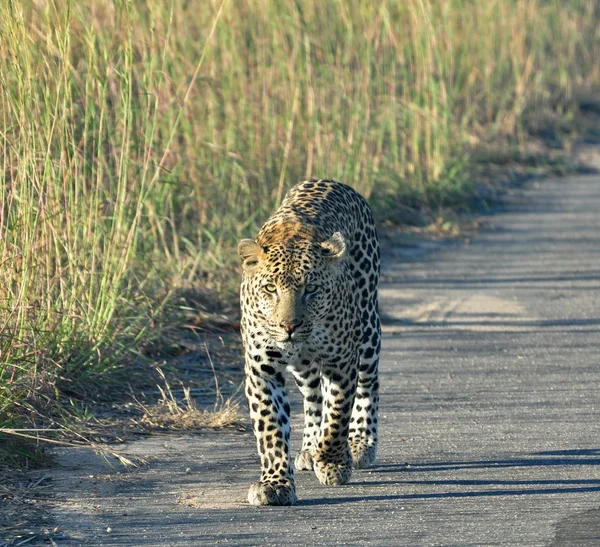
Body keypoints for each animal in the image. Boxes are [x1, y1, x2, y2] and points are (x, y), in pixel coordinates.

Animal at [238, 178, 380, 508]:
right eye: (270, 288)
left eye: (311, 289)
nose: (289, 326)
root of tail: (330, 180)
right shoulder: (262, 370)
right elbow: (271, 427)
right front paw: (274, 484)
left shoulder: (341, 362)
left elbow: (337, 415)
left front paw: (333, 463)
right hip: (303, 367)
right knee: (314, 396)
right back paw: (308, 448)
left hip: (368, 330)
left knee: (367, 385)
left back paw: (360, 443)